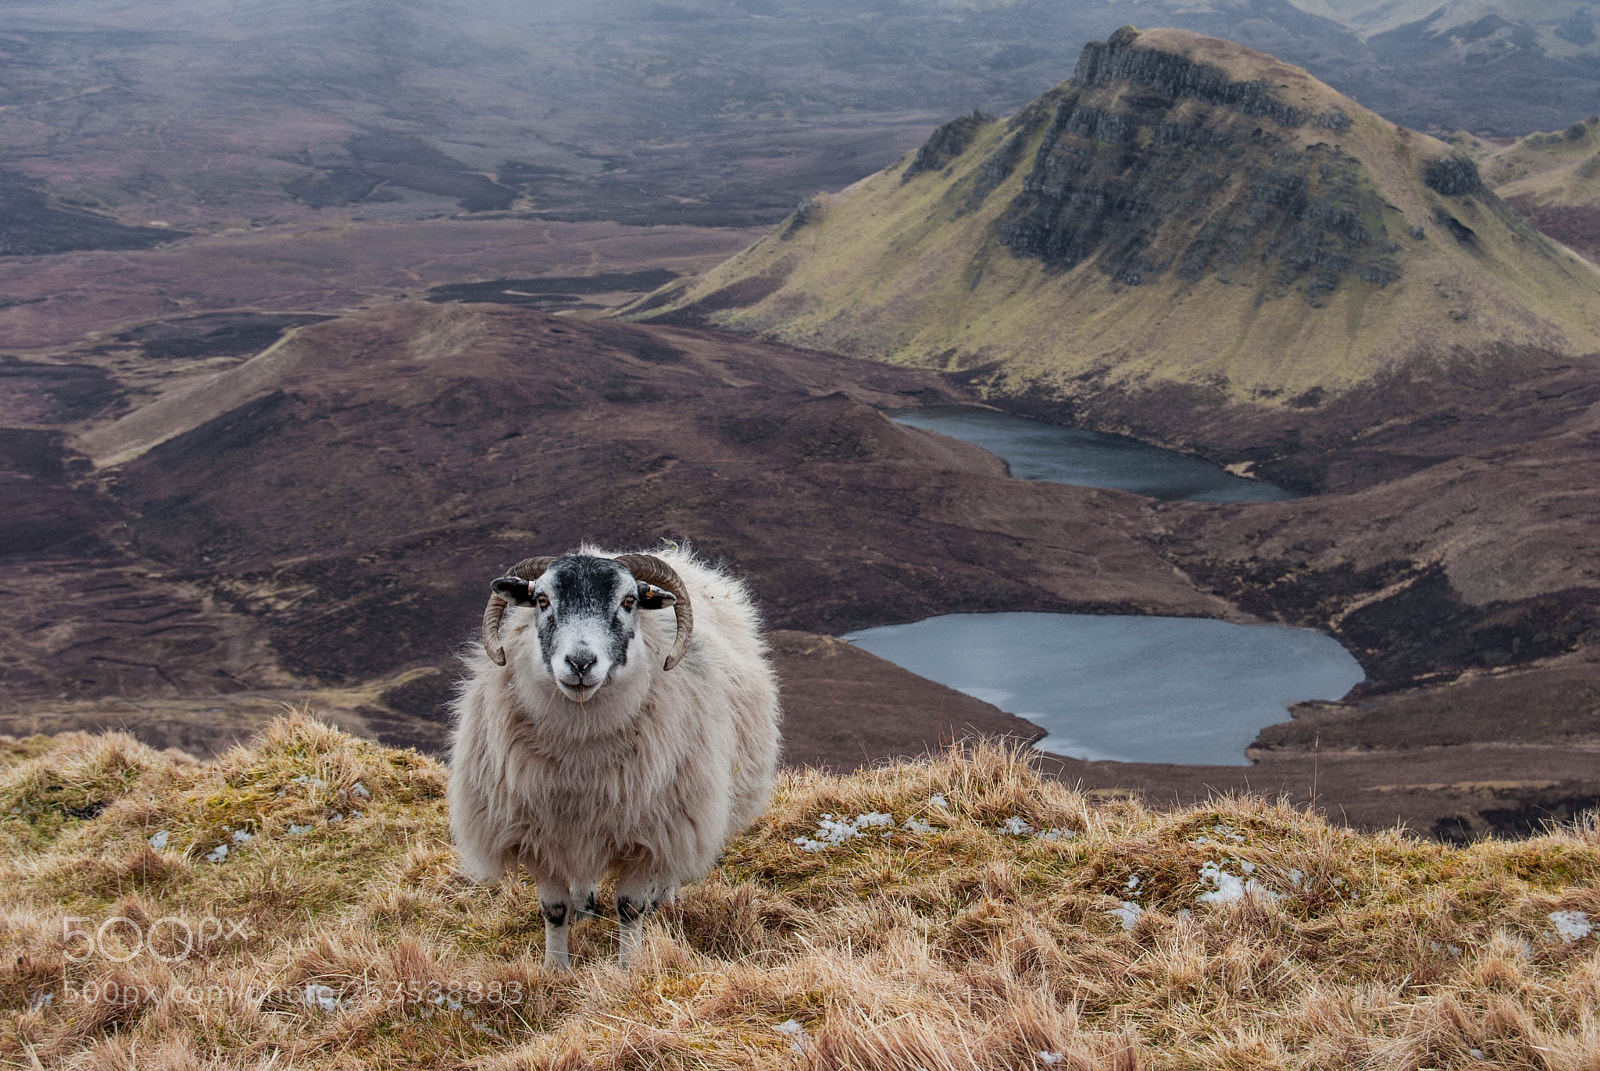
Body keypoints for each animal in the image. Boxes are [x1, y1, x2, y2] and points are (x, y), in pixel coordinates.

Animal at [447, 544, 781, 969]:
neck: (581, 751)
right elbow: (552, 909)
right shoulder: (537, 833)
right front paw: (555, 968)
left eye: (629, 601)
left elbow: (629, 908)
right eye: (541, 600)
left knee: (668, 867)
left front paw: (628, 966)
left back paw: (664, 901)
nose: (580, 663)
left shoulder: (649, 831)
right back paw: (584, 904)